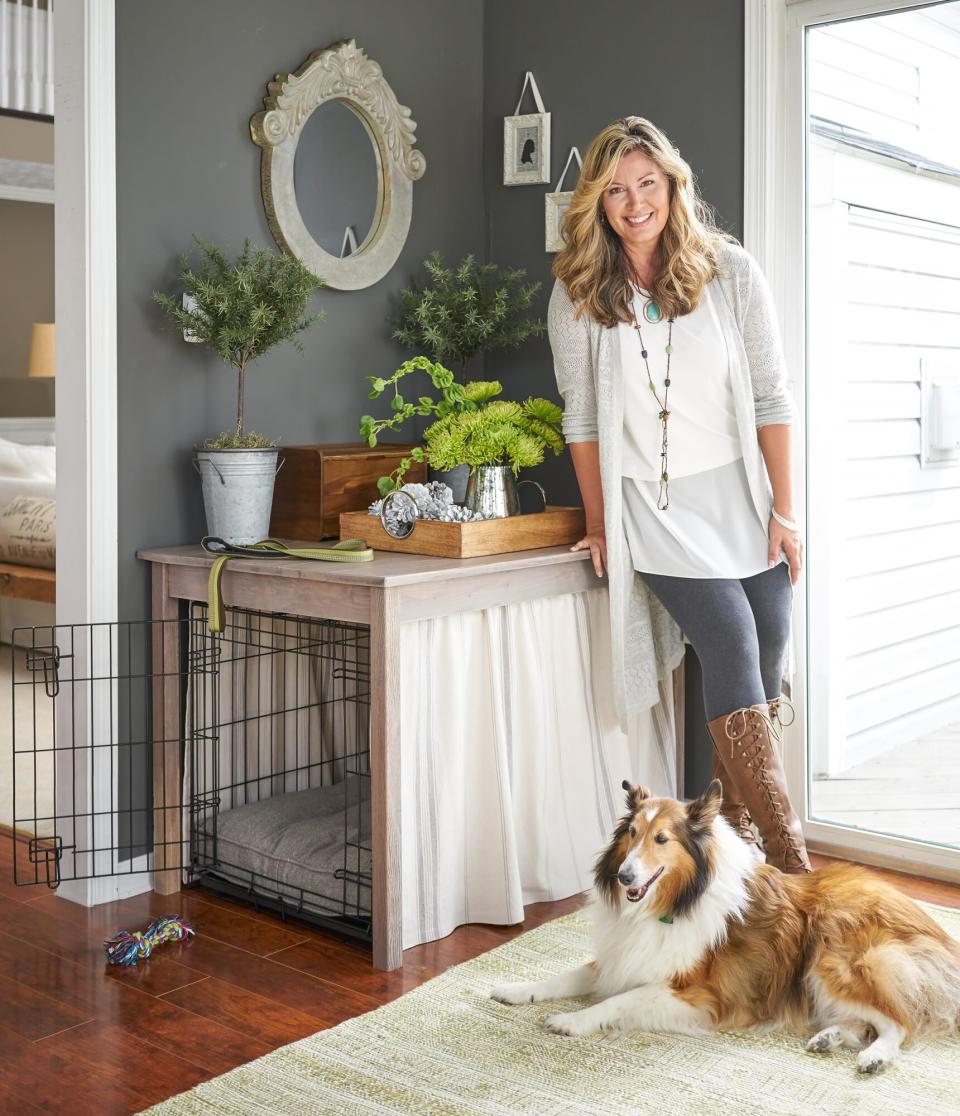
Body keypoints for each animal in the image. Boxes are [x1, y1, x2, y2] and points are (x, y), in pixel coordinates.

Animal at [491, 781, 955, 1066]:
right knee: (867, 1020)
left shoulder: (696, 993)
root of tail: (935, 932)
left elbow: (618, 1001)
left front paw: (571, 1021)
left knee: (899, 1022)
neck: (674, 902)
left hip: (833, 962)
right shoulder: (620, 958)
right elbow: (562, 977)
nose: (624, 876)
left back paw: (874, 1057)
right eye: (632, 833)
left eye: (661, 839)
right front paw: (515, 990)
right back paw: (829, 1038)